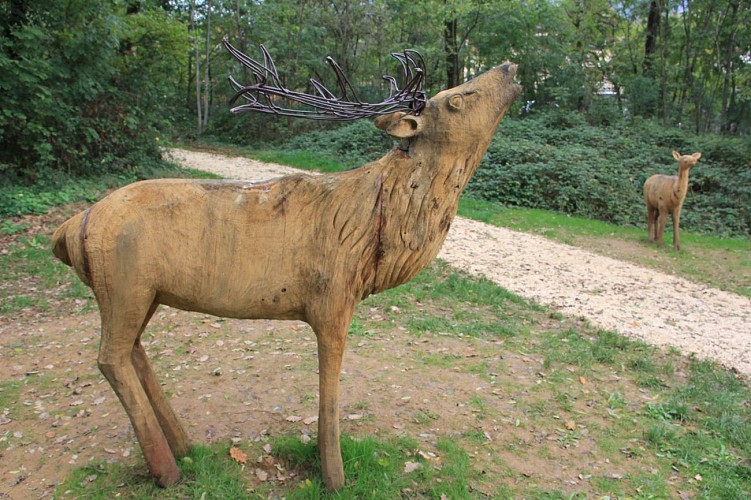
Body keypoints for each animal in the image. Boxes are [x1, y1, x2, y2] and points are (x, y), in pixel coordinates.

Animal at [51, 42, 520, 490]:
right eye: (457, 99)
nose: (509, 67)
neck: (379, 228)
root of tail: (73, 227)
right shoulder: (332, 296)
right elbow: (330, 385)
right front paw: (333, 476)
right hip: (123, 284)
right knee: (110, 358)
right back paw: (167, 471)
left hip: (142, 293)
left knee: (133, 349)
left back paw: (182, 446)